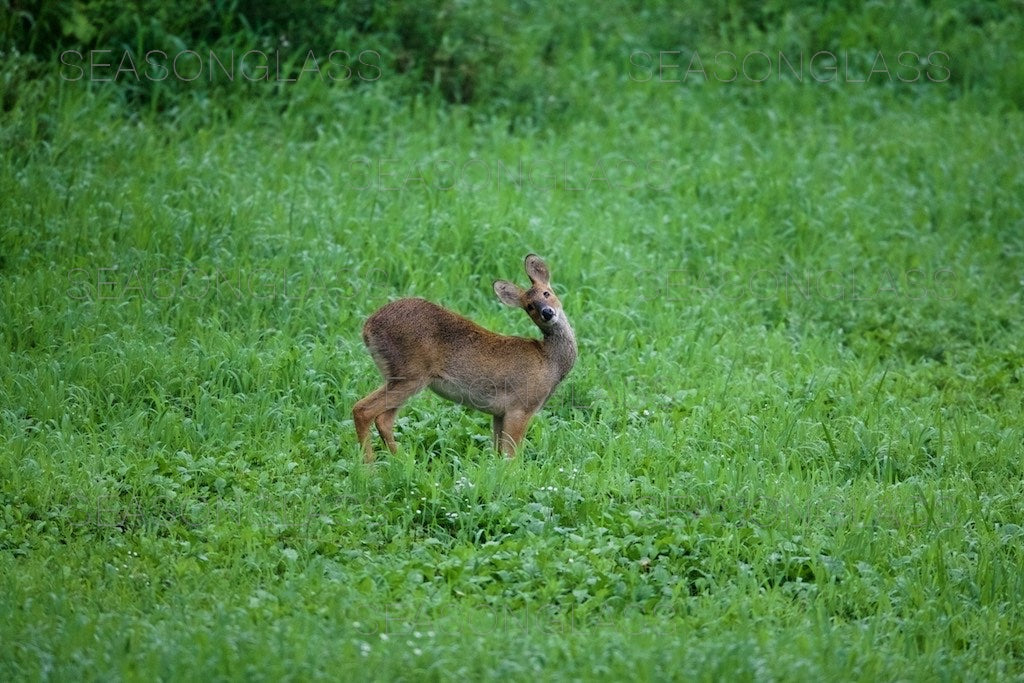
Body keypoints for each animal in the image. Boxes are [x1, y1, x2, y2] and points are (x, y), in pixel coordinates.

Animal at [352, 255, 577, 464]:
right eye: (529, 306)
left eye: (547, 293)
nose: (547, 312)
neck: (550, 361)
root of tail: (368, 328)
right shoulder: (521, 406)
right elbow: (510, 456)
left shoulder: (499, 413)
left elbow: (498, 453)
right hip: (411, 374)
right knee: (363, 409)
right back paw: (370, 466)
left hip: (398, 376)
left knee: (383, 419)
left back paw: (402, 461)